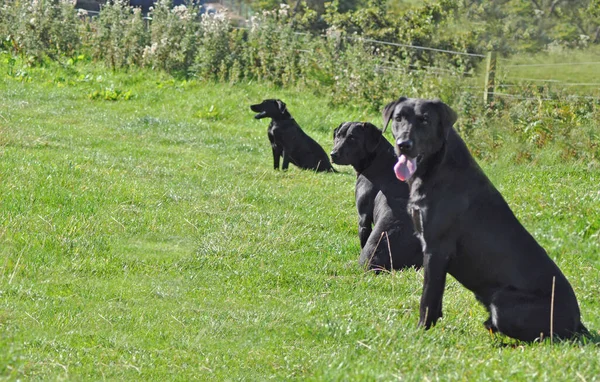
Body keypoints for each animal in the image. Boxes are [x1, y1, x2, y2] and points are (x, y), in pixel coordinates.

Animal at [384, 97, 584, 342]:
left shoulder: (436, 249)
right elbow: (436, 299)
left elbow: (428, 298)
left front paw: (421, 330)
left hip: (502, 300)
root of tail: (578, 323)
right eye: (398, 118)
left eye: (425, 120)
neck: (437, 166)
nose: (404, 144)